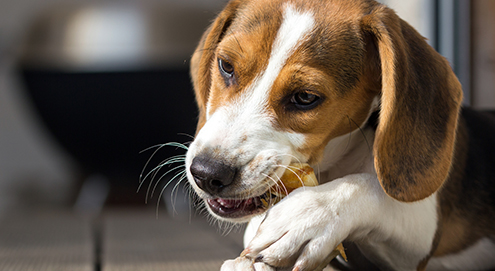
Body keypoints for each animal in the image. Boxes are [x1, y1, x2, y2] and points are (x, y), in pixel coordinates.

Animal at [185, 0, 495, 270]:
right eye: (226, 66)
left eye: (305, 97)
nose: (207, 173)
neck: (334, 164)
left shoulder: (419, 234)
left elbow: (372, 188)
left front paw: (308, 215)